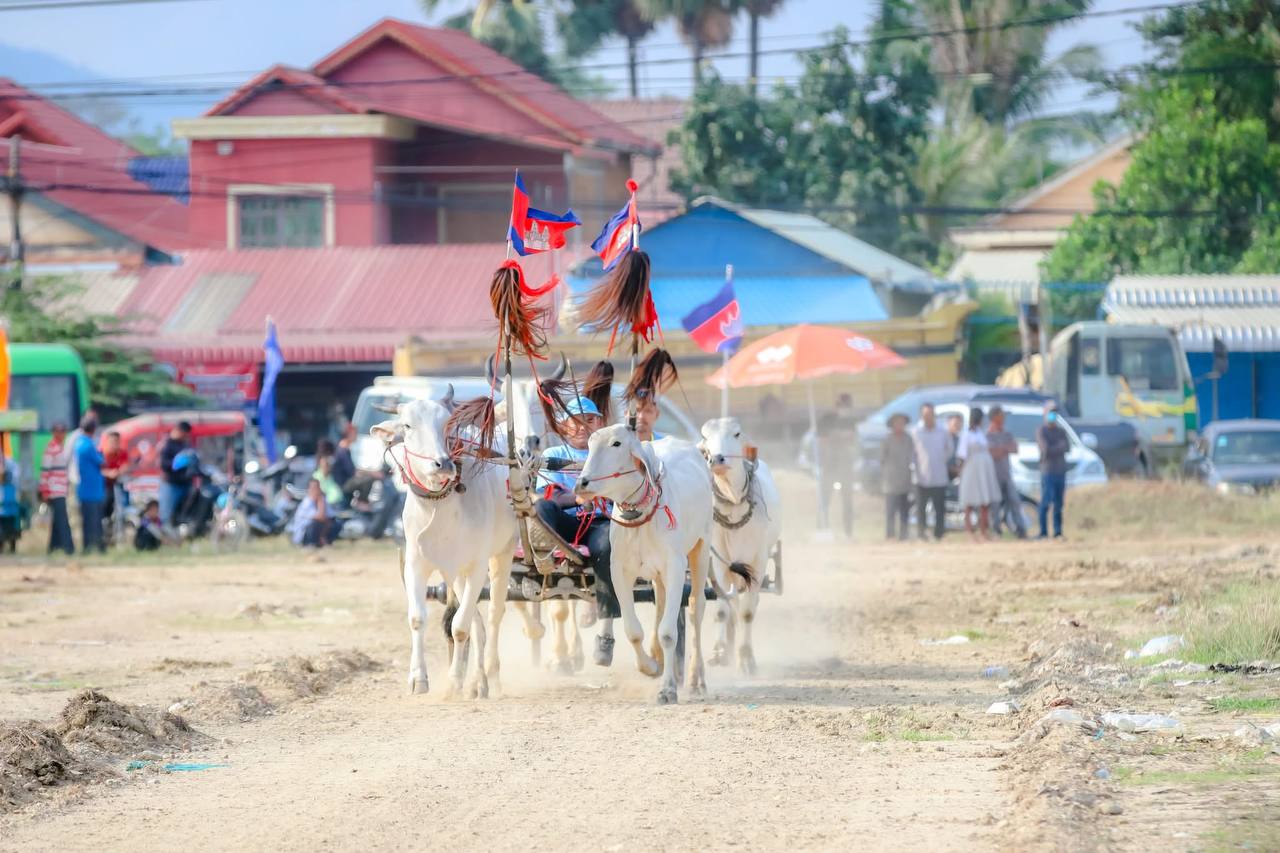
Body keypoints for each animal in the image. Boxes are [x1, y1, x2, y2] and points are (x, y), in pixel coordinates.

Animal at [371, 391, 517, 698]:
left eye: (448, 423)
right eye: (408, 426)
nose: (443, 463)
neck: (441, 505)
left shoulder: (477, 567)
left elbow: (460, 627)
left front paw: (453, 682)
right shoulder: (416, 564)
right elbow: (419, 619)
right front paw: (418, 679)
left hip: (503, 554)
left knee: (494, 614)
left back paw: (491, 675)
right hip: (455, 574)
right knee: (478, 622)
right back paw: (477, 681)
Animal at [575, 426, 714, 704]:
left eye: (616, 443)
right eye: (590, 444)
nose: (582, 483)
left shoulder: (675, 567)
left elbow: (669, 633)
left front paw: (668, 689)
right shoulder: (619, 571)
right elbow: (633, 631)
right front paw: (650, 666)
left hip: (701, 548)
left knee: (695, 606)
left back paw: (696, 678)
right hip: (658, 575)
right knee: (660, 603)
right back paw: (657, 657)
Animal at [699, 417, 782, 675]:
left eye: (736, 434)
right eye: (705, 437)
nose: (716, 459)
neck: (734, 503)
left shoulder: (758, 562)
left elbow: (747, 612)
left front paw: (746, 658)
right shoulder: (718, 562)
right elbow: (723, 608)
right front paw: (720, 652)